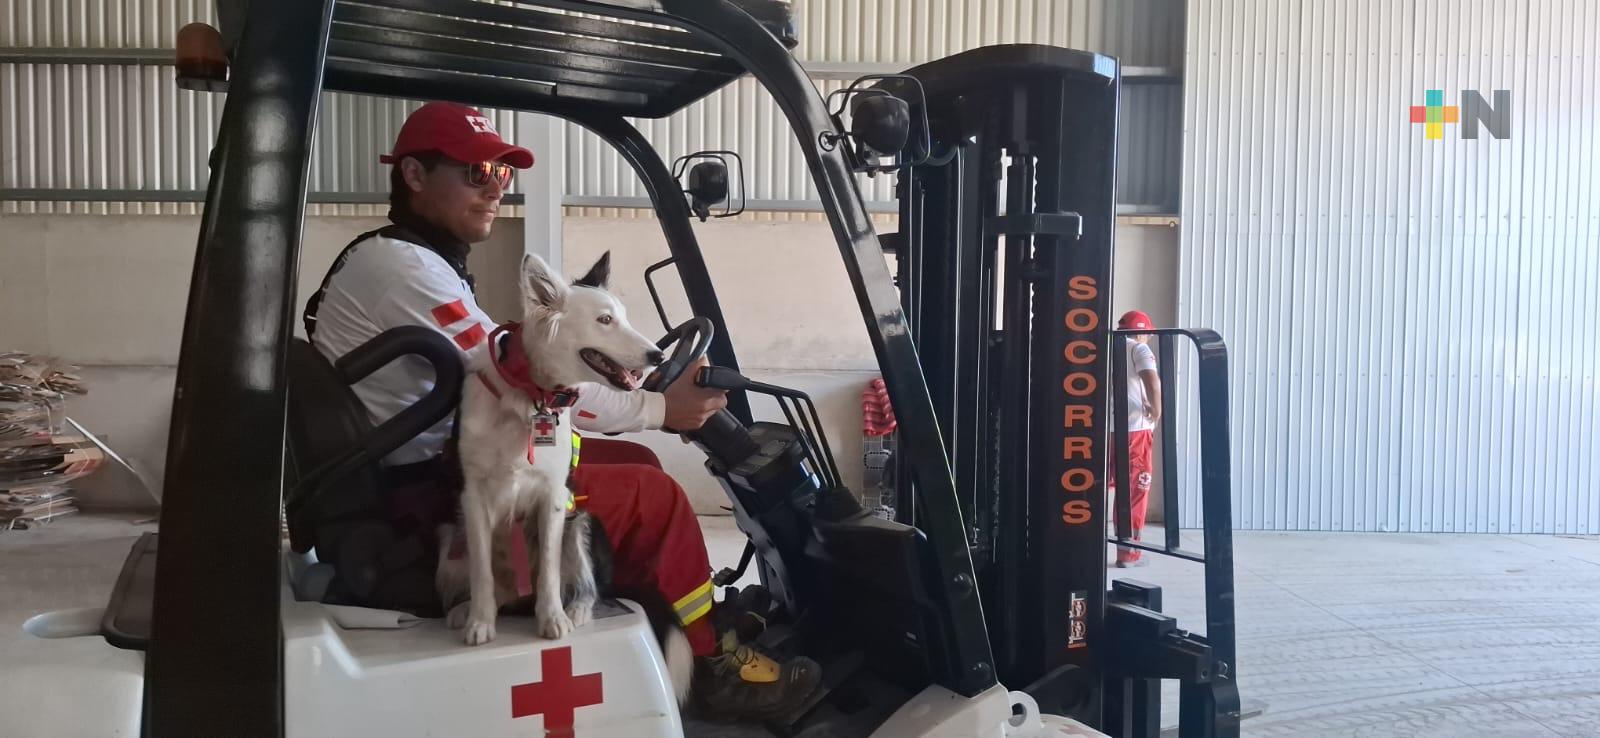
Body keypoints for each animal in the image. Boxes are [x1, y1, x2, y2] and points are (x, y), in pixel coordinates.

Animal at [435, 251, 693, 702]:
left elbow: (551, 569)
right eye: (605, 320)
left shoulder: (555, 498)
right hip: (452, 536)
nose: (657, 358)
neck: (530, 394)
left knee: (587, 587)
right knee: (497, 587)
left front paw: (553, 618)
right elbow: (482, 572)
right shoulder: (474, 499)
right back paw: (468, 610)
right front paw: (480, 623)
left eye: (623, 317)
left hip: (583, 523)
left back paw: (576, 609)